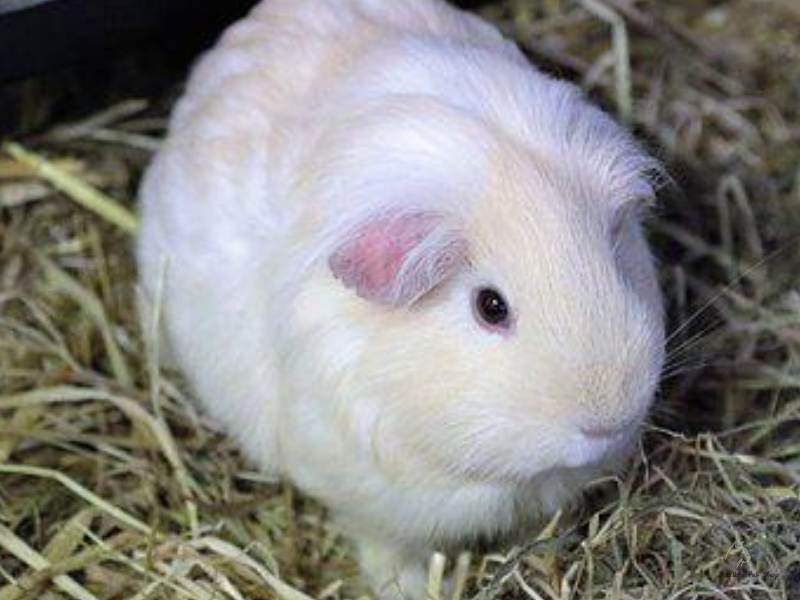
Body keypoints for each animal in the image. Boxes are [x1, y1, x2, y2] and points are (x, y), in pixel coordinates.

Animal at [136, 0, 665, 596]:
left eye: (614, 263)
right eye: (490, 306)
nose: (607, 422)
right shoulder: (373, 507)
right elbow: (387, 551)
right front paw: (419, 586)